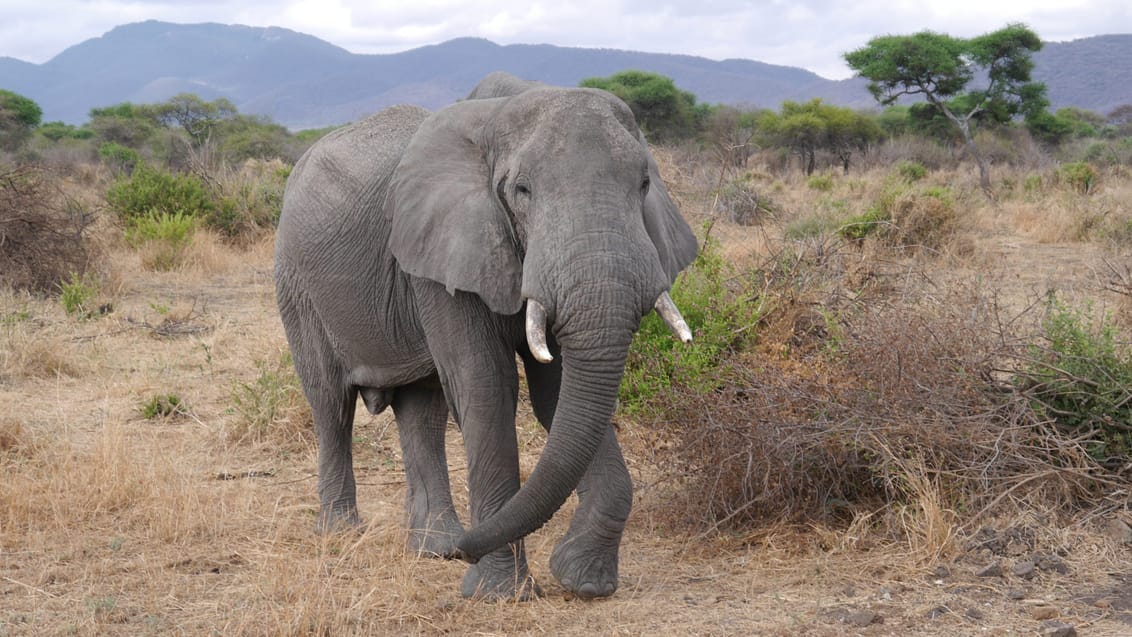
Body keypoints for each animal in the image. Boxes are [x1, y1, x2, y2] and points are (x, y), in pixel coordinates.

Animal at [273, 72, 697, 601]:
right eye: (522, 190)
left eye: (643, 184)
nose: (466, 554)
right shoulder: (445, 250)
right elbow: (486, 386)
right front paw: (499, 594)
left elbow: (559, 394)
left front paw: (583, 579)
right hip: (296, 284)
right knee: (331, 403)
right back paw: (343, 534)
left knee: (422, 409)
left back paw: (434, 546)